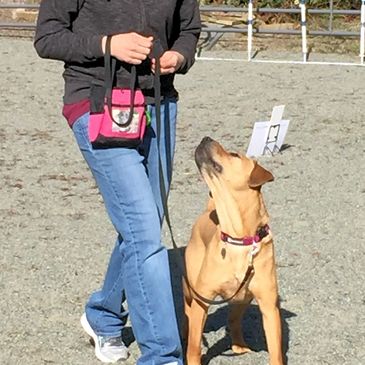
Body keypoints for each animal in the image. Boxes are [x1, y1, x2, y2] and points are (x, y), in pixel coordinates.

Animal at [183, 136, 282, 364]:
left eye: (234, 155)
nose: (206, 137)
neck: (239, 240)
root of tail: (209, 211)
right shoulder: (202, 299)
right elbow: (193, 347)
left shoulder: (269, 307)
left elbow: (276, 352)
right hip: (190, 287)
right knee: (187, 313)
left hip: (243, 298)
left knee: (234, 319)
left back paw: (239, 346)